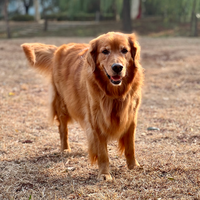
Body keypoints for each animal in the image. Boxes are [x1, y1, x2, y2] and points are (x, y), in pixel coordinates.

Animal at [21, 32, 144, 180]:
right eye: (105, 51)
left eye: (124, 50)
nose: (117, 67)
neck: (114, 94)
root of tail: (59, 48)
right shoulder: (96, 120)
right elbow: (103, 152)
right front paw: (104, 174)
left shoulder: (131, 117)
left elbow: (130, 146)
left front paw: (133, 166)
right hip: (62, 104)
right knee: (63, 129)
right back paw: (65, 149)